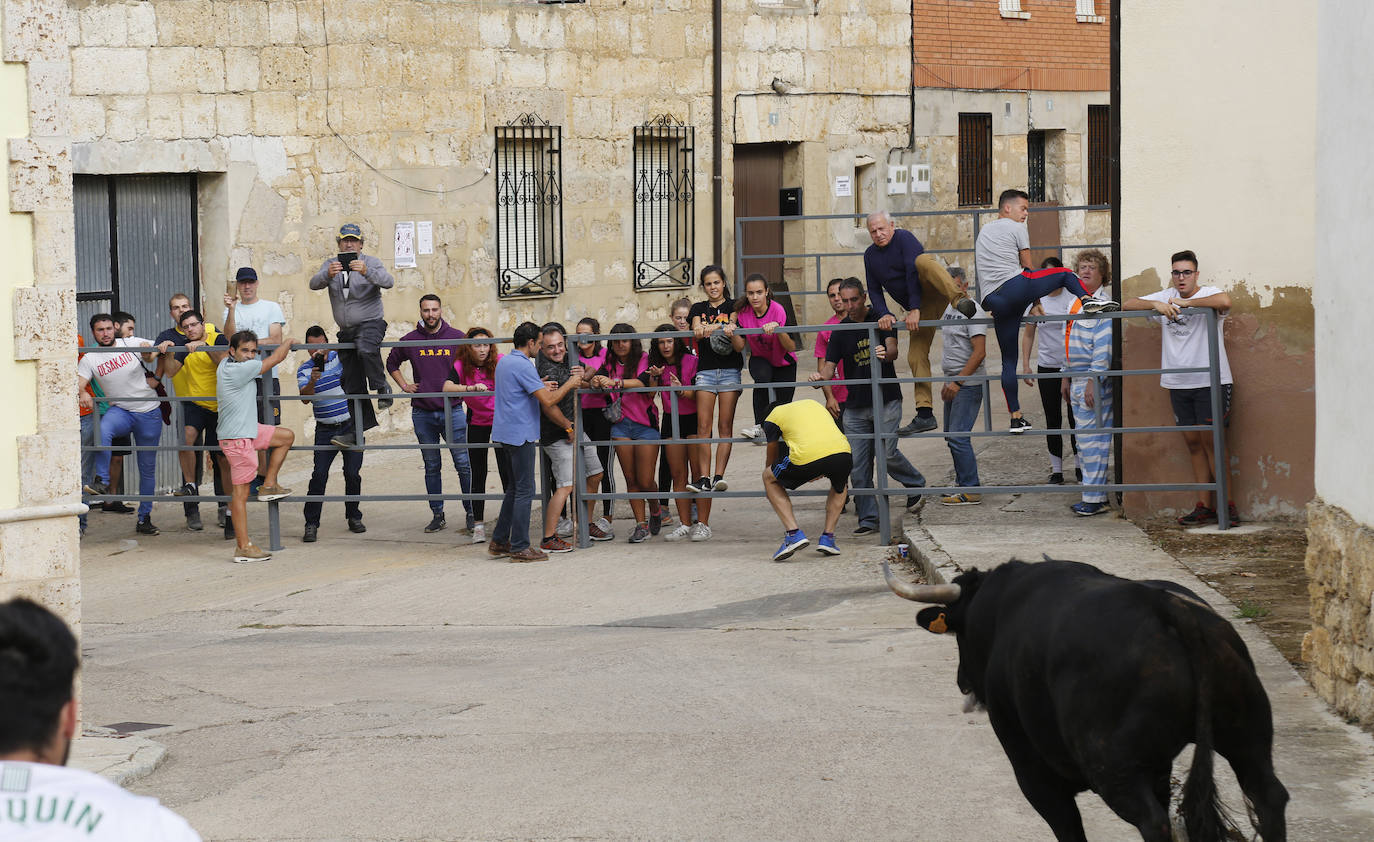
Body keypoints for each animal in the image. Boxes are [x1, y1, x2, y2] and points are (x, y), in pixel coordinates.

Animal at [884, 557, 1291, 840]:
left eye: (958, 633)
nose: (961, 682)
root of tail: (1167, 608)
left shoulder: (1033, 772)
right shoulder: (1158, 768)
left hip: (1112, 768)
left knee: (1154, 822)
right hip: (1245, 737)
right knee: (1269, 798)